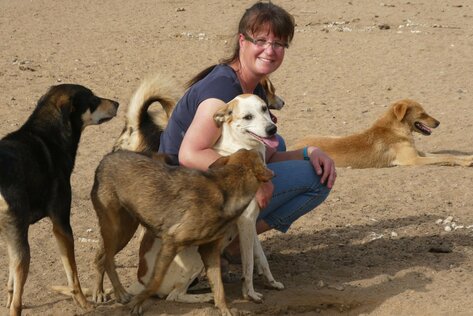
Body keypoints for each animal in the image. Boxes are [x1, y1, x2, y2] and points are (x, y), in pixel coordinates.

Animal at [0, 84, 118, 316]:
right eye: (93, 99)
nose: (117, 103)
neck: (48, 135)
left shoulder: (12, 238)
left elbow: (10, 280)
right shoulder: (62, 226)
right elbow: (73, 275)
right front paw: (83, 303)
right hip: (24, 248)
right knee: (18, 303)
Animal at [91, 149, 272, 316]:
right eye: (261, 157)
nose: (260, 147)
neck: (225, 188)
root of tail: (106, 158)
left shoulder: (209, 250)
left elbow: (219, 287)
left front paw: (225, 309)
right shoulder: (170, 243)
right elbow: (154, 282)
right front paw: (137, 302)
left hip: (124, 232)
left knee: (102, 257)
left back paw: (101, 292)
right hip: (114, 229)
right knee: (109, 260)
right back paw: (118, 293)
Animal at [292, 99, 472, 168]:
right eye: (422, 114)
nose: (438, 123)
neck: (397, 128)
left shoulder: (418, 153)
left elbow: (447, 155)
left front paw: (468, 159)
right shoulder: (413, 160)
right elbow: (444, 157)